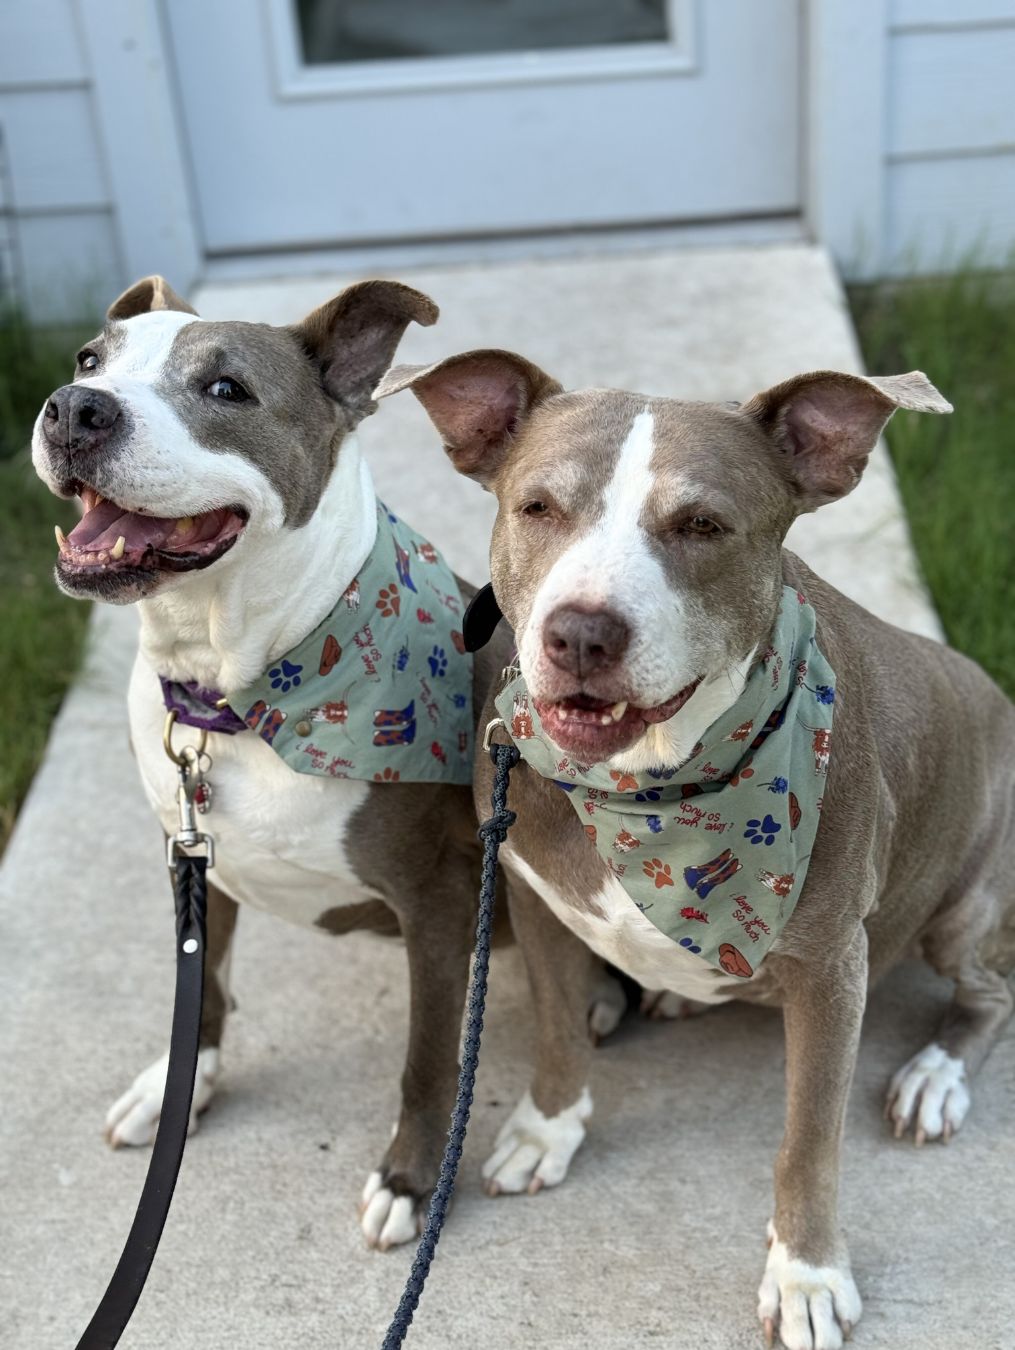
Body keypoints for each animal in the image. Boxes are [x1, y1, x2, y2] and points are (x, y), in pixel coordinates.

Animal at [32, 276, 504, 1252]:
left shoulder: (439, 903)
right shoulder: (188, 858)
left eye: (226, 390)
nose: (73, 409)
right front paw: (178, 1089)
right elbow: (202, 988)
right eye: (90, 360)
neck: (232, 695)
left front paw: (407, 1179)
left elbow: (427, 1058)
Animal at [380, 351, 1015, 1350]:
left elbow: (807, 1143)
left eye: (701, 525)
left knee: (990, 992)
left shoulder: (832, 970)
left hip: (961, 911)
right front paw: (547, 1130)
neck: (644, 792)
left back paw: (932, 1078)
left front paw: (805, 1274)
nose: (579, 633)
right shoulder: (534, 899)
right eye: (537, 507)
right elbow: (558, 1031)